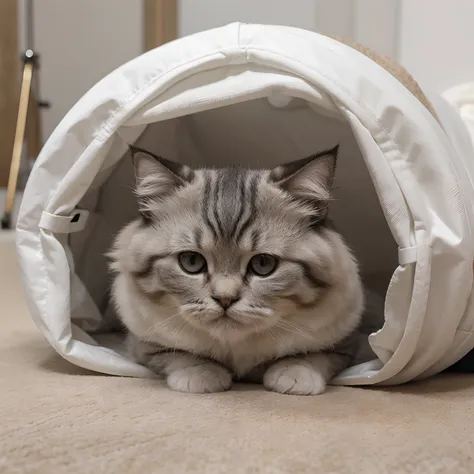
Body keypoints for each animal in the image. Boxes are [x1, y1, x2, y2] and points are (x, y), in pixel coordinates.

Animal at [109, 145, 364, 396]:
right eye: (191, 261)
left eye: (263, 264)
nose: (225, 299)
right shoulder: (143, 341)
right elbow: (176, 355)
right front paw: (202, 375)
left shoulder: (346, 341)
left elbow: (315, 355)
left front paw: (294, 375)